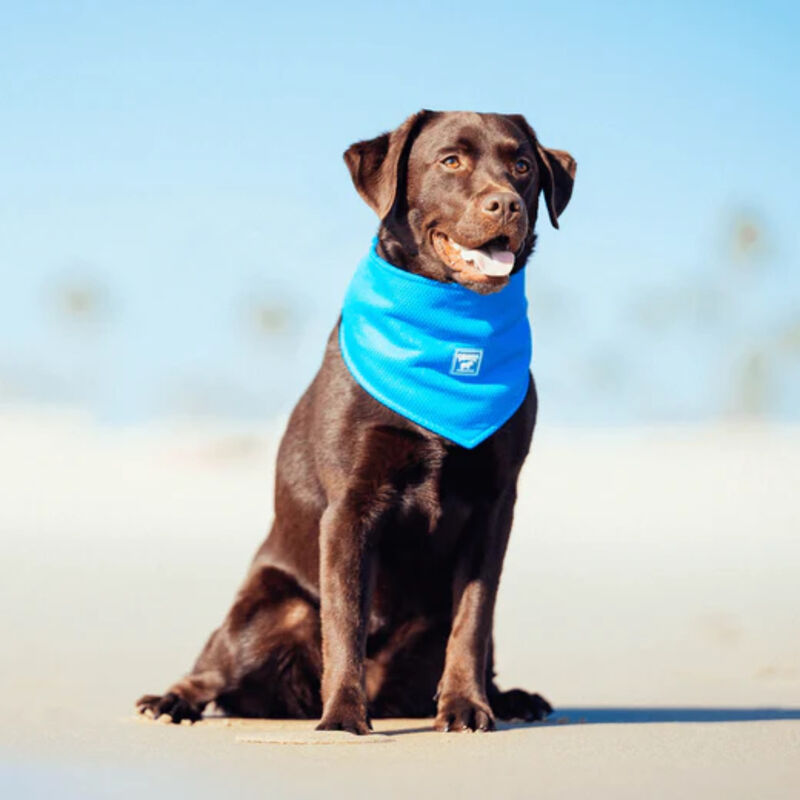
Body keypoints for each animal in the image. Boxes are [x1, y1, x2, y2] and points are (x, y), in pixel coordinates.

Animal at [138, 109, 576, 736]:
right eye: (451, 160)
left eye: (521, 165)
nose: (507, 205)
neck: (453, 337)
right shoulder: (351, 504)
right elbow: (345, 617)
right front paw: (344, 717)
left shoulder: (495, 506)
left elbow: (473, 620)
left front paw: (466, 706)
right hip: (273, 608)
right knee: (216, 667)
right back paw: (174, 699)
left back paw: (510, 697)